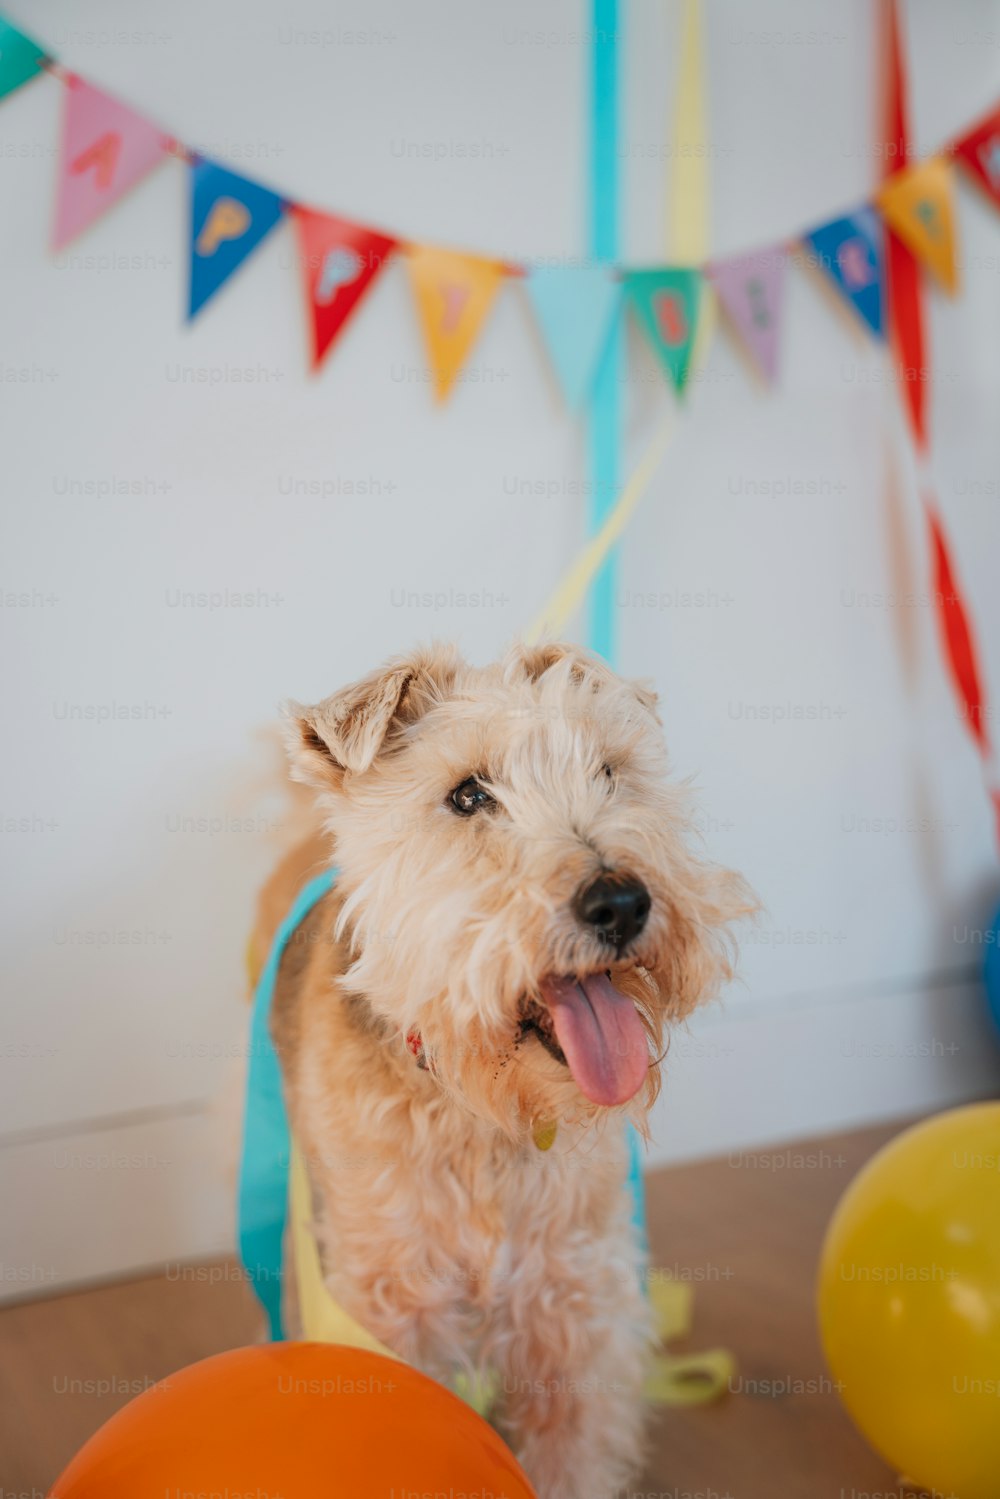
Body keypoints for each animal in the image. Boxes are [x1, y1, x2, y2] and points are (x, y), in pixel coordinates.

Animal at [250, 641, 749, 1499]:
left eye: (609, 771)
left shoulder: (572, 1312)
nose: (622, 901)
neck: (480, 1110)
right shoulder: (392, 1311)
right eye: (468, 794)